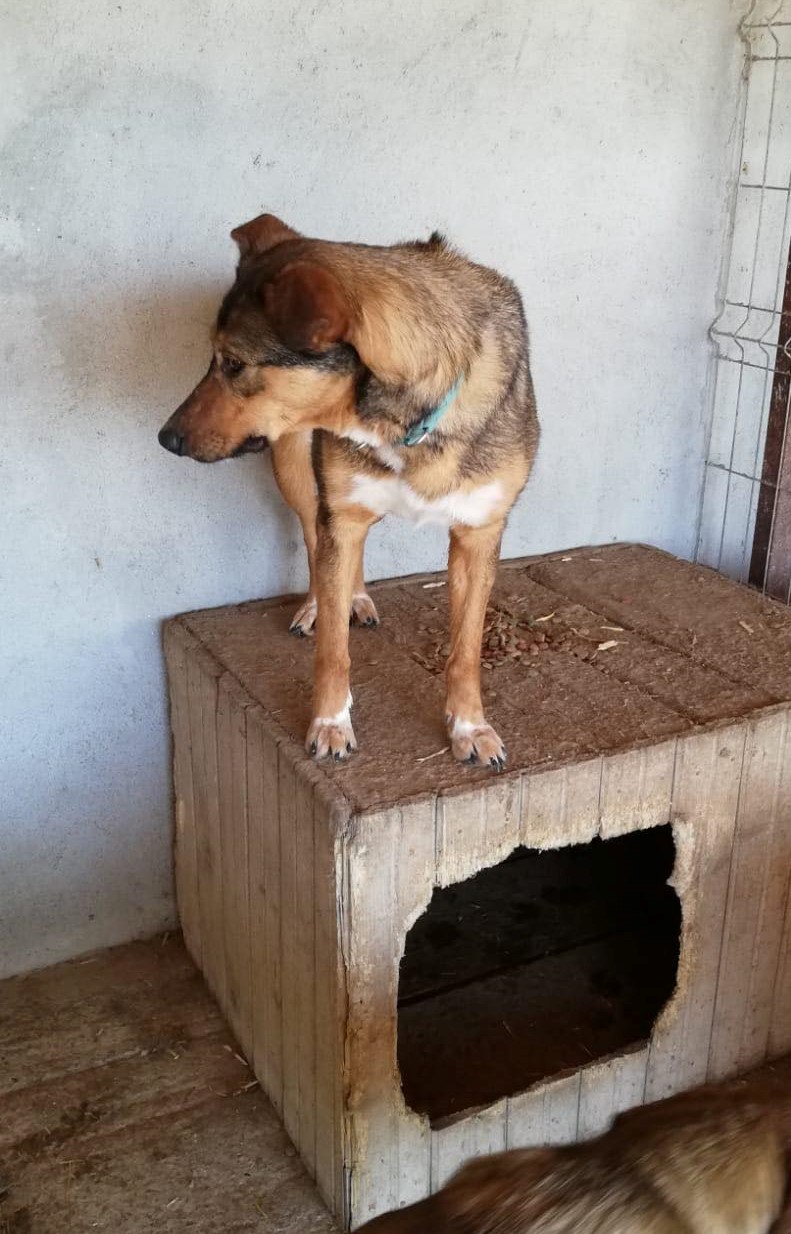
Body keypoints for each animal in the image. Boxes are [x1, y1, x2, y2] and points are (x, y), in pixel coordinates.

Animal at [160, 217, 542, 765]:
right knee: (315, 540)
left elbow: (466, 650)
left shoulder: (479, 532)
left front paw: (469, 727)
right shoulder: (340, 511)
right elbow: (332, 649)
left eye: (233, 364)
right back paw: (322, 603)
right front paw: (330, 722)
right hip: (299, 471)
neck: (403, 421)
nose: (165, 438)